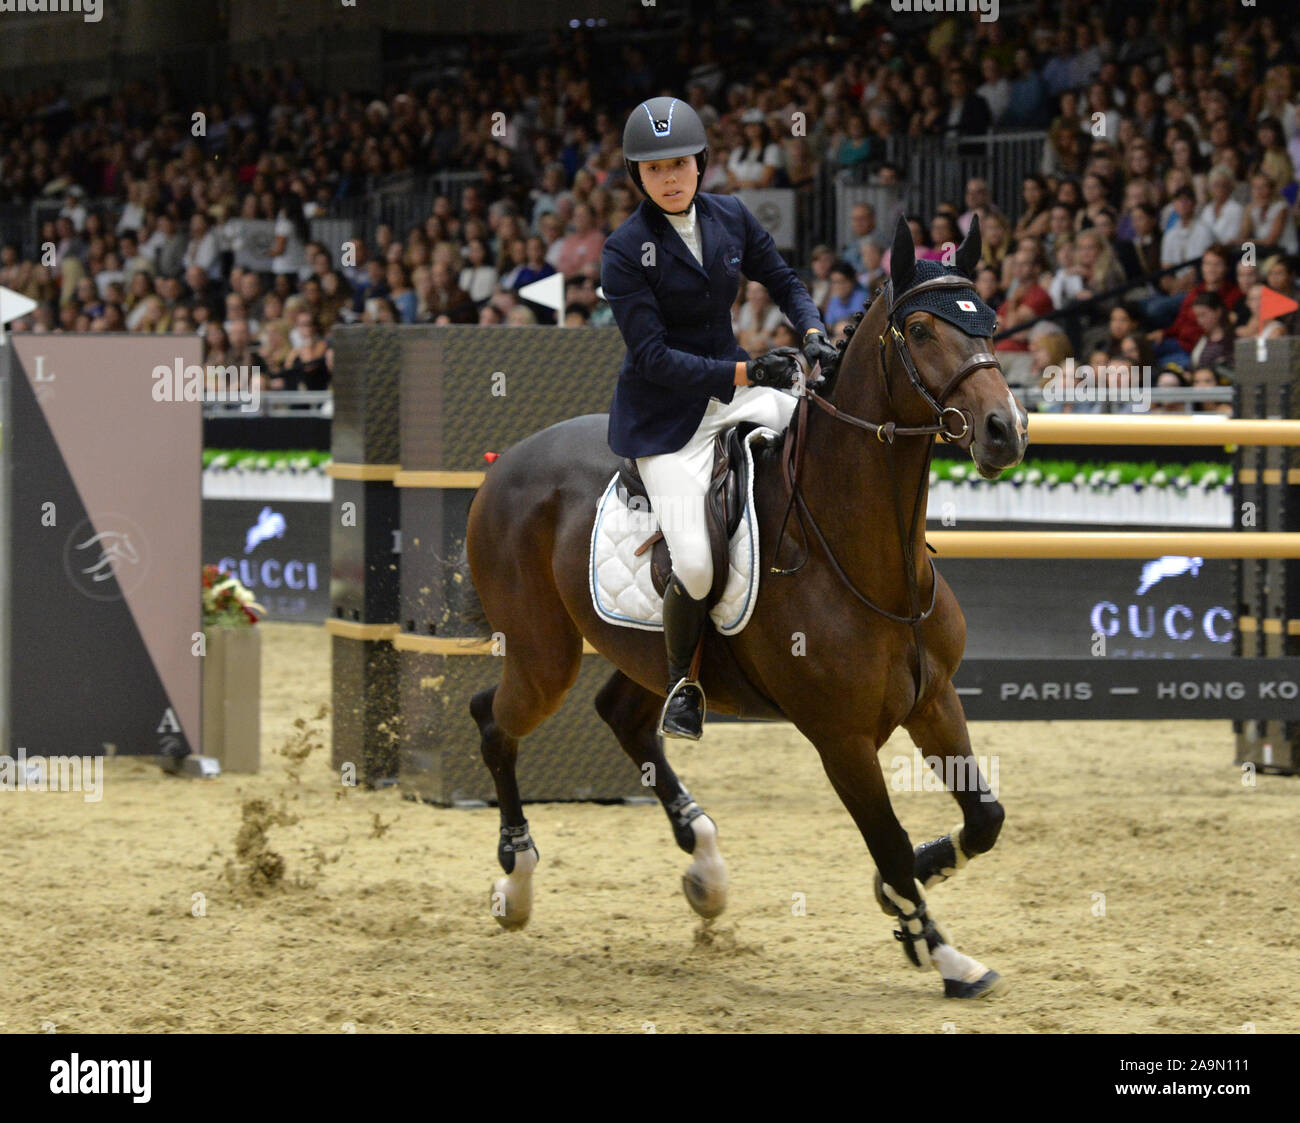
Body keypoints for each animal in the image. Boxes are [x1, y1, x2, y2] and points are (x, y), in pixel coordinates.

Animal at [457, 214, 1024, 998]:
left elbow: (983, 818)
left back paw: (705, 864)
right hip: (544, 657)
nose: (1006, 431)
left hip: (645, 656)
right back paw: (516, 880)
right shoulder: (841, 739)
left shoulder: (933, 699)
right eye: (918, 329)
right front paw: (944, 954)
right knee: (494, 719)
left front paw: (911, 888)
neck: (868, 558)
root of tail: (505, 464)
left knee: (625, 718)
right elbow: (889, 840)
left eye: (990, 322)